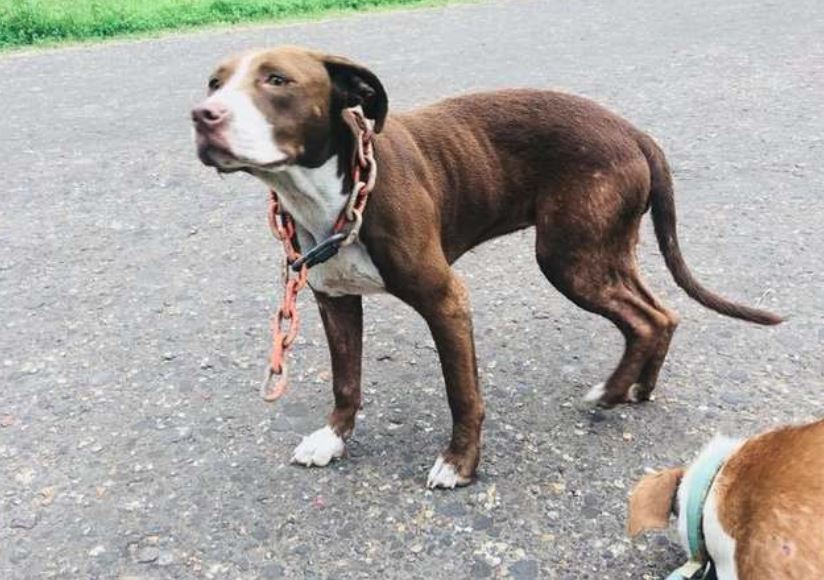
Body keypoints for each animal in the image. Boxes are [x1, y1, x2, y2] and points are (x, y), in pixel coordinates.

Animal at [190, 46, 784, 490]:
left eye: (277, 80)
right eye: (213, 84)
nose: (203, 115)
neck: (332, 195)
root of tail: (633, 131)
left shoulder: (446, 300)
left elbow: (463, 393)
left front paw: (460, 464)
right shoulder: (334, 300)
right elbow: (345, 380)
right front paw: (333, 438)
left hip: (571, 257)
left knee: (645, 318)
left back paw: (612, 394)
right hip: (603, 250)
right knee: (660, 314)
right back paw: (637, 389)